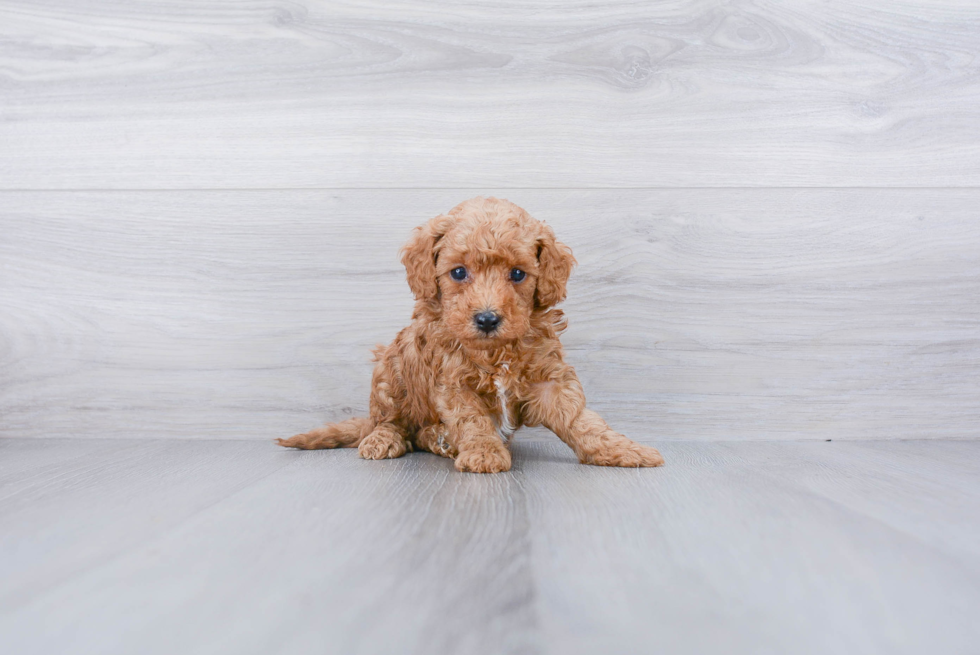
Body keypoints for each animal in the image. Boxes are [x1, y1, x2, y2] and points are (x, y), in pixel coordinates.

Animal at [280, 197, 668, 474]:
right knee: (391, 421)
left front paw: (622, 448)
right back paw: (387, 439)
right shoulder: (453, 383)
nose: (486, 318)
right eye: (458, 272)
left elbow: (580, 420)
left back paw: (438, 439)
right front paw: (483, 452)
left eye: (517, 274)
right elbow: (472, 419)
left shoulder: (549, 379)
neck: (496, 352)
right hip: (391, 370)